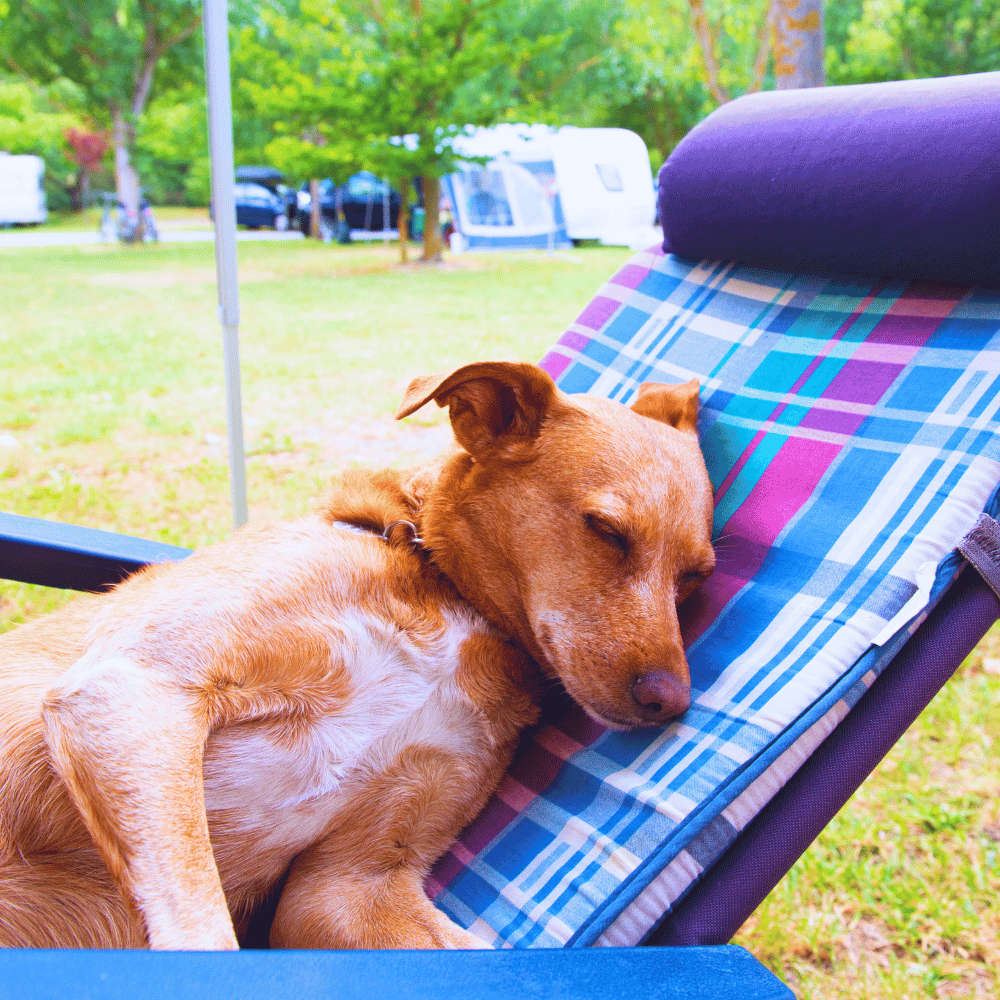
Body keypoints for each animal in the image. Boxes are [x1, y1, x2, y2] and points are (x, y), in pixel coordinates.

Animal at [0, 358, 716, 944]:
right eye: (607, 530)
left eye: (693, 577)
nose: (672, 703)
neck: (453, 599)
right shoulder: (130, 689)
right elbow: (206, 937)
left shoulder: (346, 890)